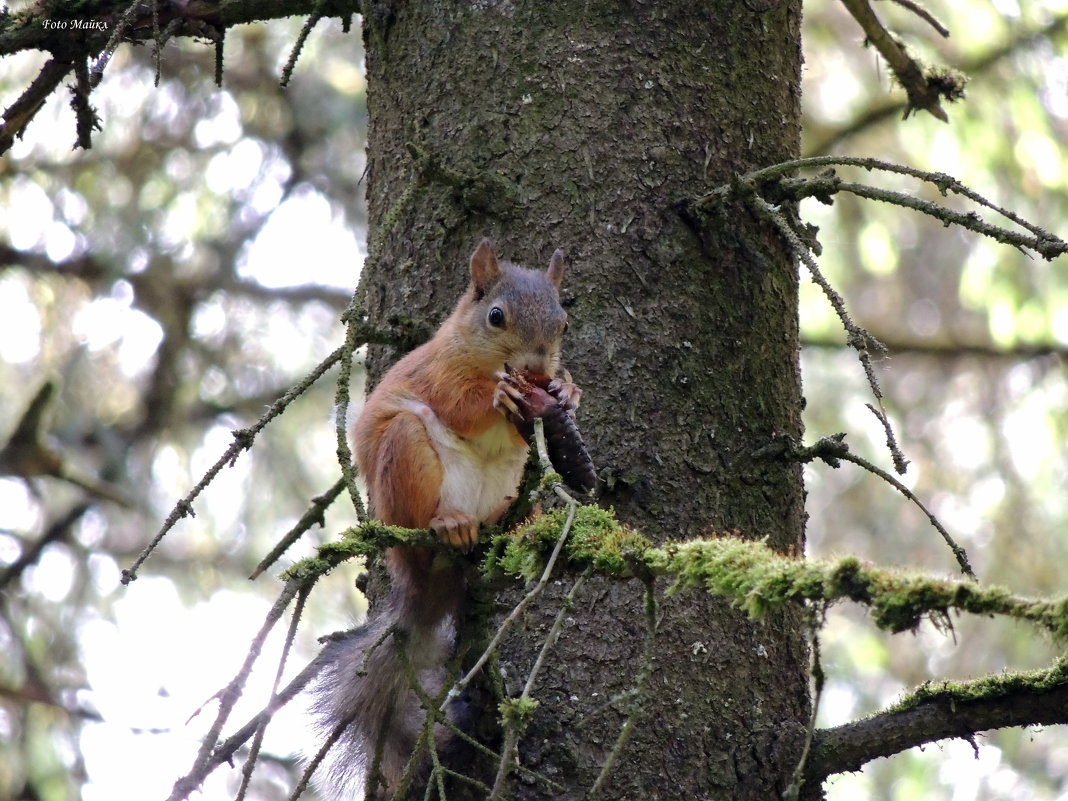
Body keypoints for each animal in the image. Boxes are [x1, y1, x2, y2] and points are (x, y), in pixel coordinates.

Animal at [305, 240, 580, 801]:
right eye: (496, 316)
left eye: (563, 322)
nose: (539, 366)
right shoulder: (438, 374)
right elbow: (463, 407)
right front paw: (498, 398)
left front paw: (568, 390)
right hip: (407, 454)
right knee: (425, 516)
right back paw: (449, 524)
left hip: (513, 485)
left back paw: (513, 526)